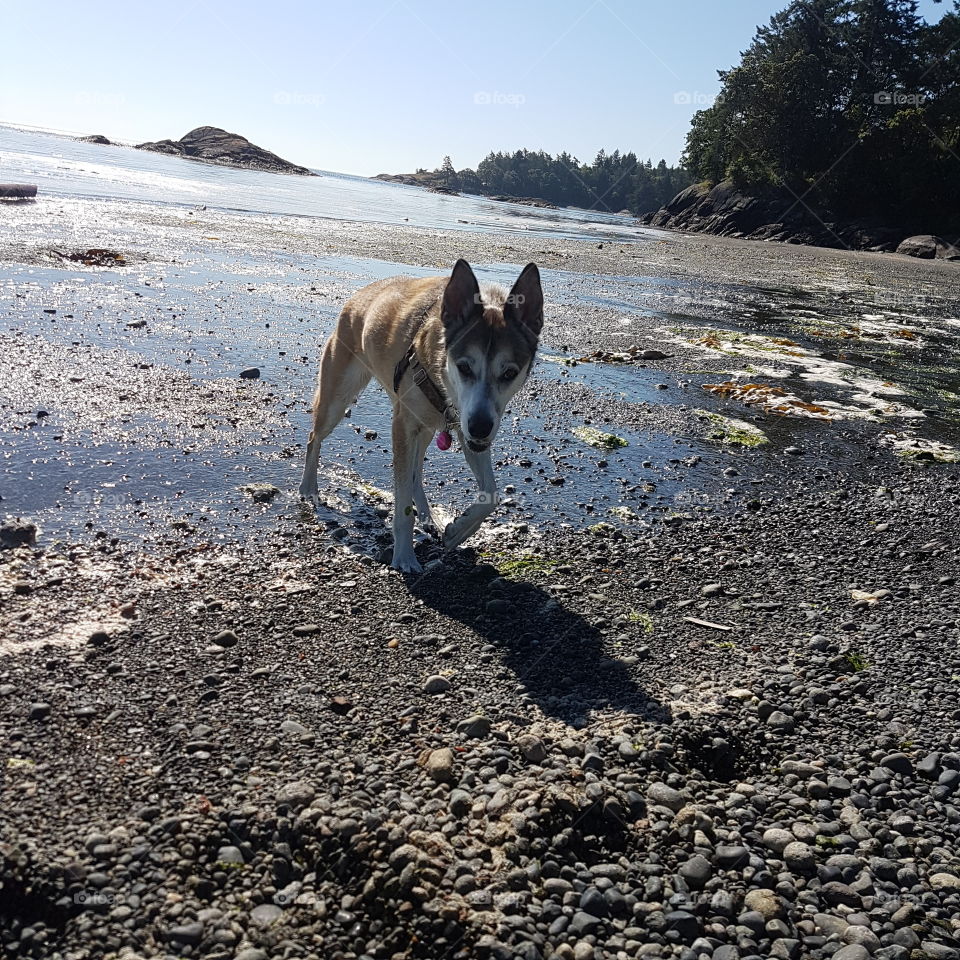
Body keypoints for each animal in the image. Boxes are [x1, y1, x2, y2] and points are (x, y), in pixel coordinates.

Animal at [296, 258, 544, 568]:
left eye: (510, 373)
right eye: (464, 367)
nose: (480, 428)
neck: (440, 372)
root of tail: (358, 297)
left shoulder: (465, 422)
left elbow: (491, 493)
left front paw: (458, 531)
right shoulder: (404, 425)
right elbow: (402, 506)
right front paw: (404, 556)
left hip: (427, 427)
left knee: (416, 471)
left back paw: (429, 517)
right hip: (337, 398)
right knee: (314, 438)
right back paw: (309, 489)